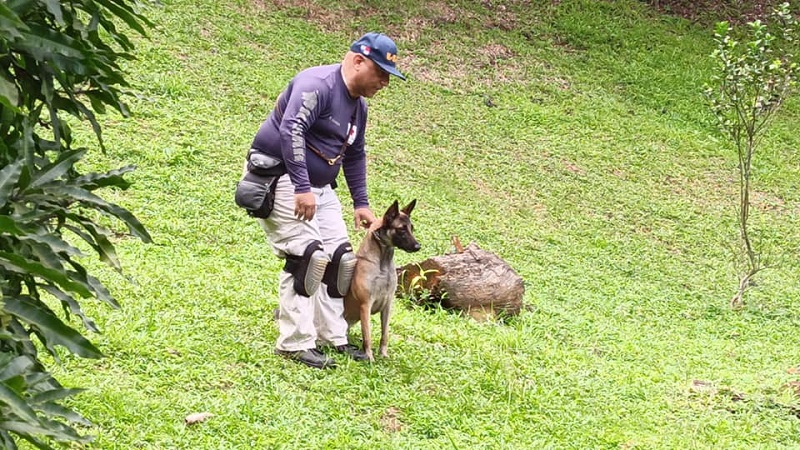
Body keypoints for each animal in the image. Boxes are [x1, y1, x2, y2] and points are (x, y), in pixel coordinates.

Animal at [342, 199, 422, 360]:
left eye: (412, 228)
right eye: (401, 229)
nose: (418, 246)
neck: (382, 263)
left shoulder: (388, 305)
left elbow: (385, 334)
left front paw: (384, 355)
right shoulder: (365, 305)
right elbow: (367, 335)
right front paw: (370, 358)